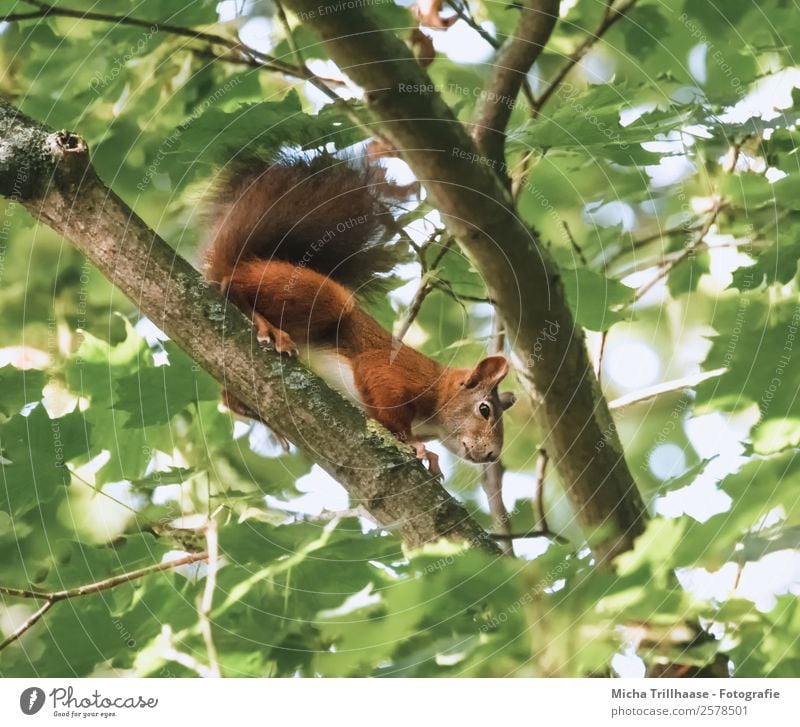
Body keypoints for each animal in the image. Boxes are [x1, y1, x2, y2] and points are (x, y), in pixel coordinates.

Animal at [202, 154, 512, 474]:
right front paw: (416, 445)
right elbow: (382, 390)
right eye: (484, 409)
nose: (492, 455)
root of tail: (246, 263)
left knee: (228, 398)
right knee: (231, 286)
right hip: (325, 299)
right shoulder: (398, 372)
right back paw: (266, 325)